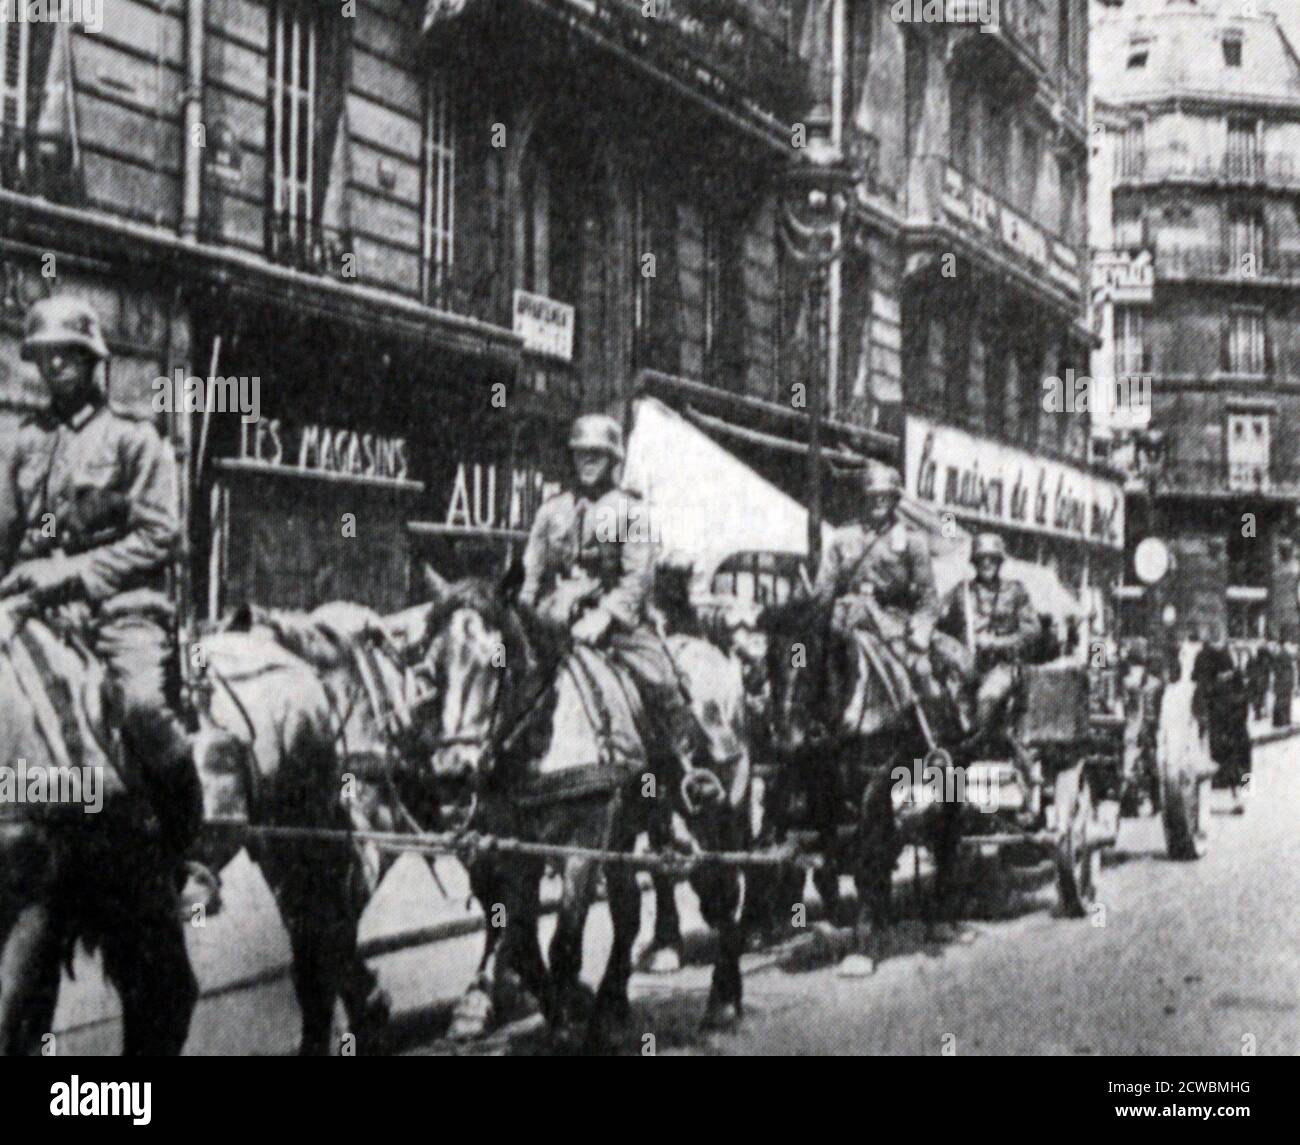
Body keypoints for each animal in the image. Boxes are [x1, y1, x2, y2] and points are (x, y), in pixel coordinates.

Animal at [426, 571, 754, 1044]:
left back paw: (723, 999)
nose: (453, 771)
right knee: (630, 911)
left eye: (496, 661)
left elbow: (562, 942)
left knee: (722, 894)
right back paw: (611, 1006)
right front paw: (564, 1012)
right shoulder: (514, 848)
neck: (543, 735)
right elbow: (521, 943)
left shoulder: (582, 843)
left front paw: (565, 1027)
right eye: (432, 669)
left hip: (714, 814)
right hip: (626, 832)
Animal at [754, 590, 967, 972]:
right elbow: (823, 861)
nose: (787, 739)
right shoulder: (815, 795)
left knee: (945, 838)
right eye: (770, 659)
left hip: (951, 777)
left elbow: (866, 857)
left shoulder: (875, 783)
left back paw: (941, 919)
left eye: (812, 654)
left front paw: (861, 947)